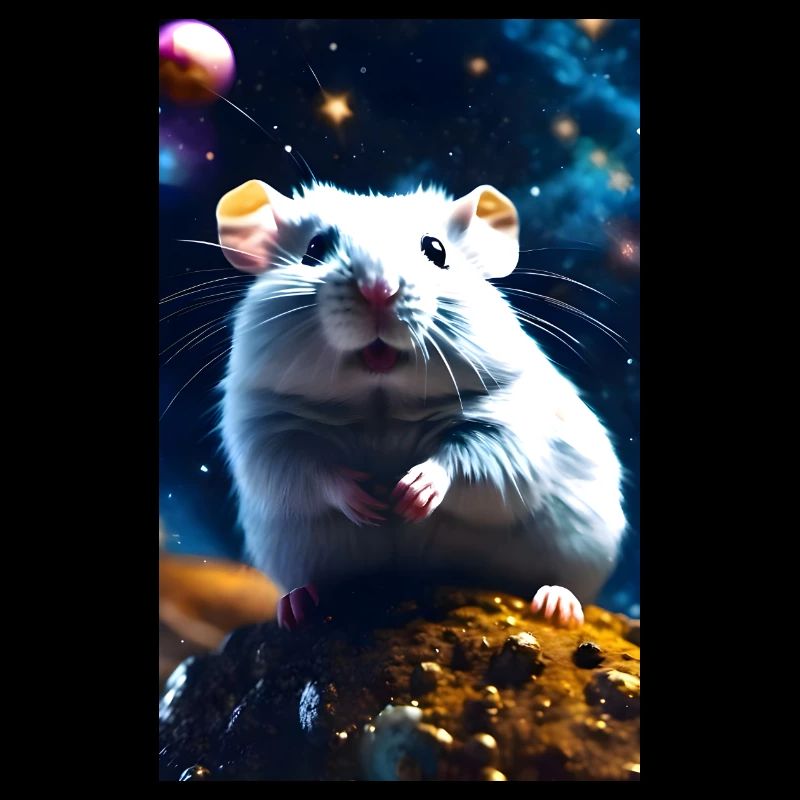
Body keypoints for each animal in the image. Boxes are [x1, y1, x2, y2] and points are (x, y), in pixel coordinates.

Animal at [215, 178, 626, 630]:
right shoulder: (268, 428)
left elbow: (474, 462)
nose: (379, 290)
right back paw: (298, 602)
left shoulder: (504, 419)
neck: (379, 400)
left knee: (570, 586)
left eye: (436, 250)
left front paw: (414, 491)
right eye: (313, 249)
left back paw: (556, 602)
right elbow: (303, 471)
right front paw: (364, 499)